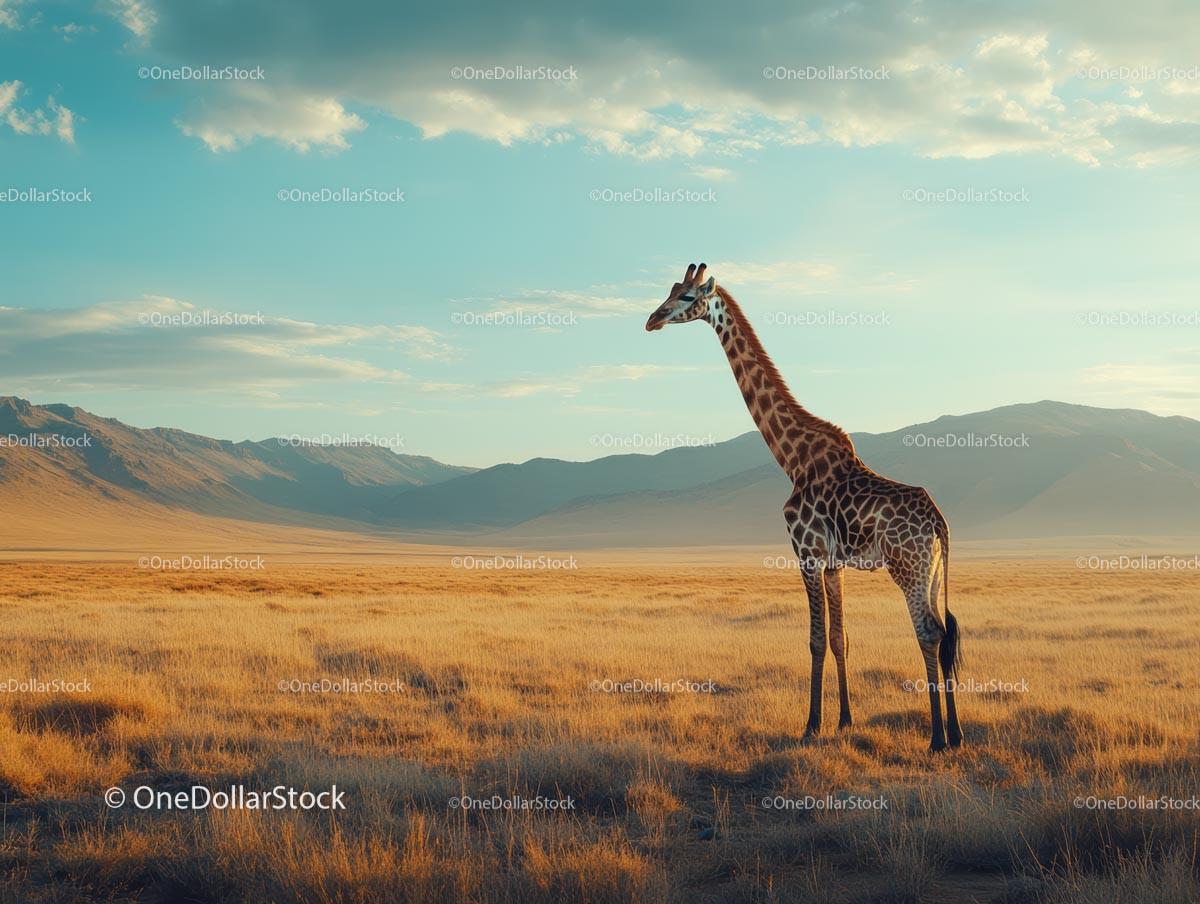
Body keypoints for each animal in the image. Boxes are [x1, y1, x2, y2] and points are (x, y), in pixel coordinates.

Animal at [645, 263, 962, 751]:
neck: (792, 458)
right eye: (672, 291)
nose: (652, 320)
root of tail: (939, 523)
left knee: (928, 632)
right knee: (945, 635)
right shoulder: (833, 564)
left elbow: (814, 640)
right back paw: (958, 733)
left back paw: (938, 738)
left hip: (906, 566)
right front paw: (845, 721)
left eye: (686, 297)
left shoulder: (806, 553)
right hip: (931, 569)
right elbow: (839, 638)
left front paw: (811, 724)